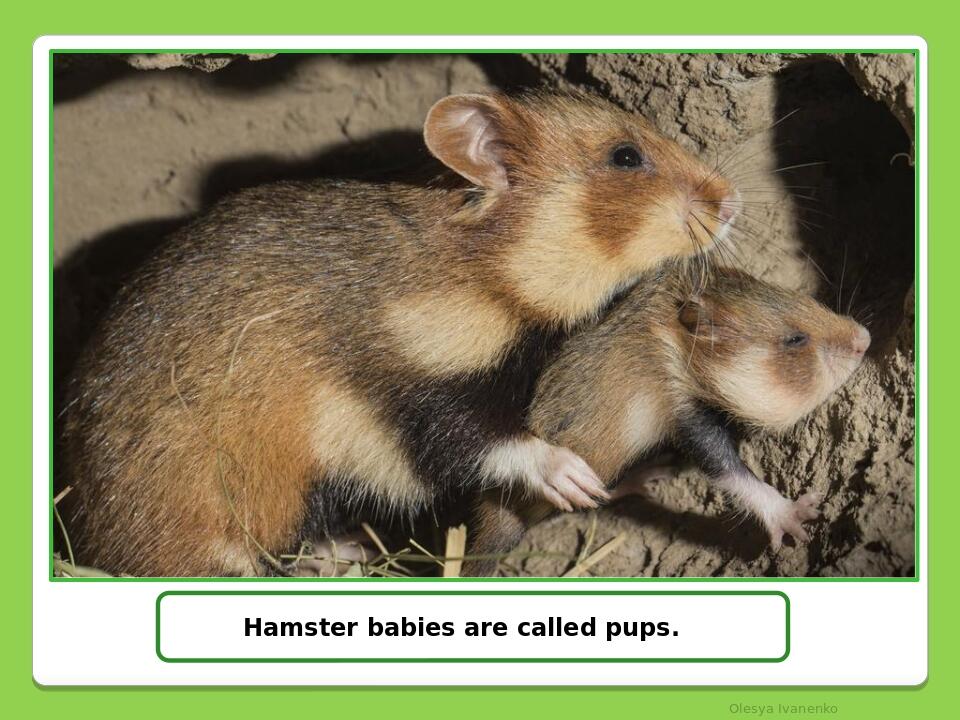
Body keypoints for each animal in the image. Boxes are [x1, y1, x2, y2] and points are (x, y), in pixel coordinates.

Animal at [62, 90, 739, 577]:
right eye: (625, 156)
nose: (732, 203)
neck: (485, 272)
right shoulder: (418, 381)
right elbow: (487, 444)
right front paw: (574, 478)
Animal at [464, 264, 870, 576]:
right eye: (794, 339)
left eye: (809, 300)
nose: (865, 338)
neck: (676, 340)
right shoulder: (687, 414)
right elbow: (732, 472)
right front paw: (796, 515)